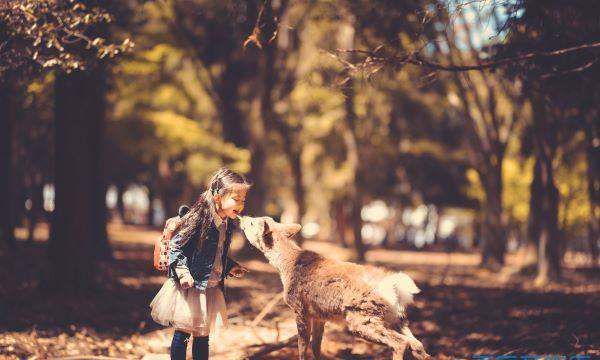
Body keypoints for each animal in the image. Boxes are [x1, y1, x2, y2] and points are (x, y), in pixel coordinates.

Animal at [239, 217, 432, 360]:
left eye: (253, 223)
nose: (243, 217)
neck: (286, 267)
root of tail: (396, 288)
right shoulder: (319, 315)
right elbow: (316, 346)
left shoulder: (299, 308)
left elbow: (302, 346)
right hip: (396, 318)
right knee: (418, 345)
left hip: (362, 317)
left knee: (400, 343)